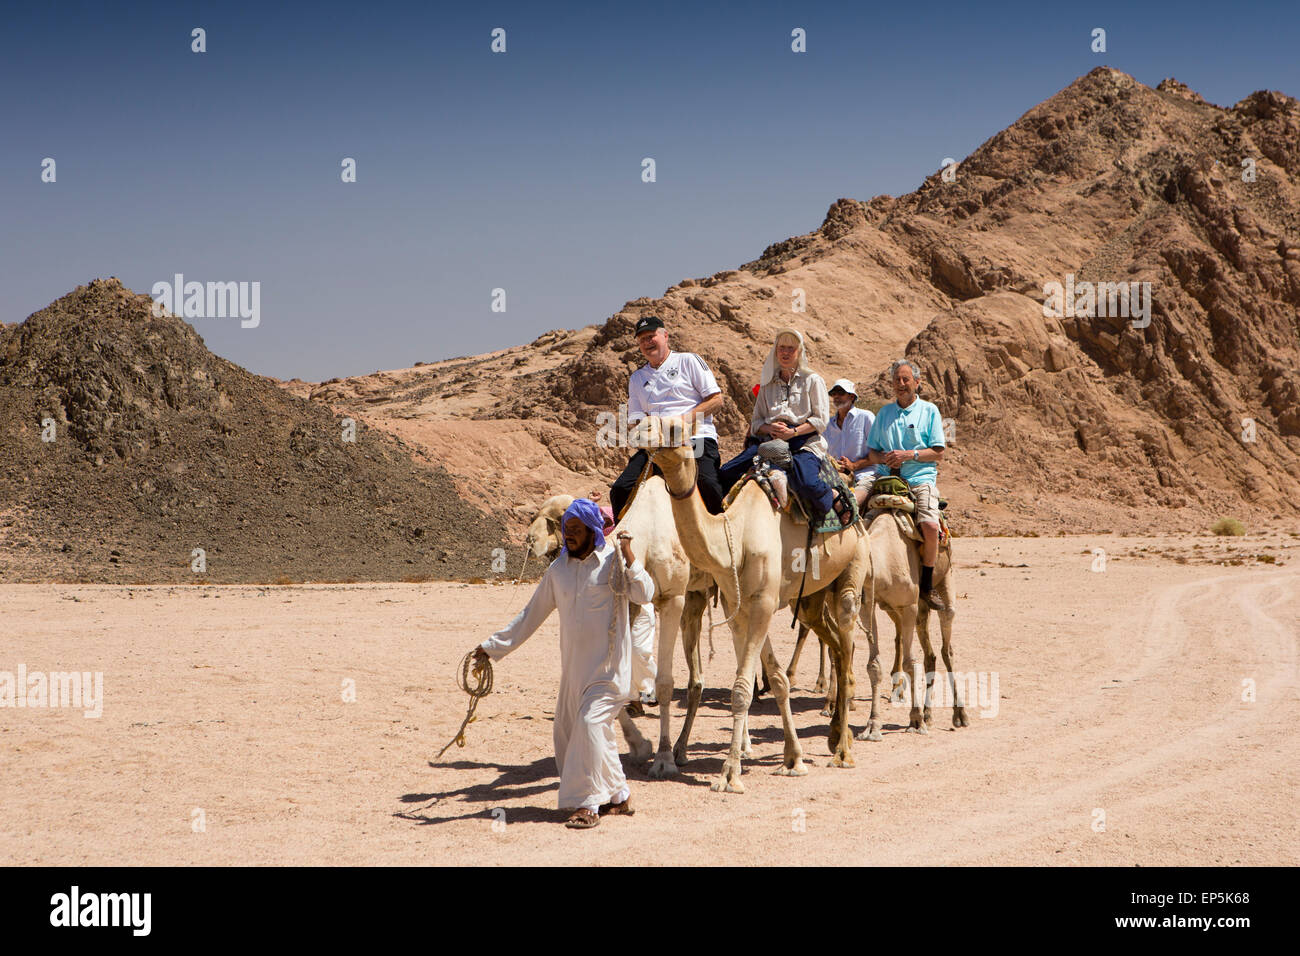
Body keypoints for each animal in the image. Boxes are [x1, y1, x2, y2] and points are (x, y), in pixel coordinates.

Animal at [522, 486, 717, 780]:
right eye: (535, 514)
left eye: (556, 521)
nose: (530, 541)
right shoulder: (631, 602)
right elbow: (616, 680)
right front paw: (640, 746)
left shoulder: (673, 598)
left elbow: (664, 682)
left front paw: (663, 758)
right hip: (696, 598)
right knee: (697, 678)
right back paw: (682, 750)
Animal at [631, 416, 873, 790]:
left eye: (675, 428)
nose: (638, 429)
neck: (736, 534)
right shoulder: (741, 608)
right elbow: (776, 678)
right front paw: (792, 759)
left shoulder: (761, 604)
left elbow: (743, 688)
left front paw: (729, 773)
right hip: (811, 599)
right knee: (833, 642)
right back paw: (835, 735)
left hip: (853, 566)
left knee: (846, 649)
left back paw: (843, 752)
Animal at [852, 509, 967, 738]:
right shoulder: (868, 605)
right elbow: (874, 665)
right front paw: (872, 725)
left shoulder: (908, 607)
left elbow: (909, 663)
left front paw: (915, 720)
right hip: (918, 609)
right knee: (930, 655)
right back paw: (929, 715)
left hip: (945, 579)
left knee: (946, 648)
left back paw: (959, 715)